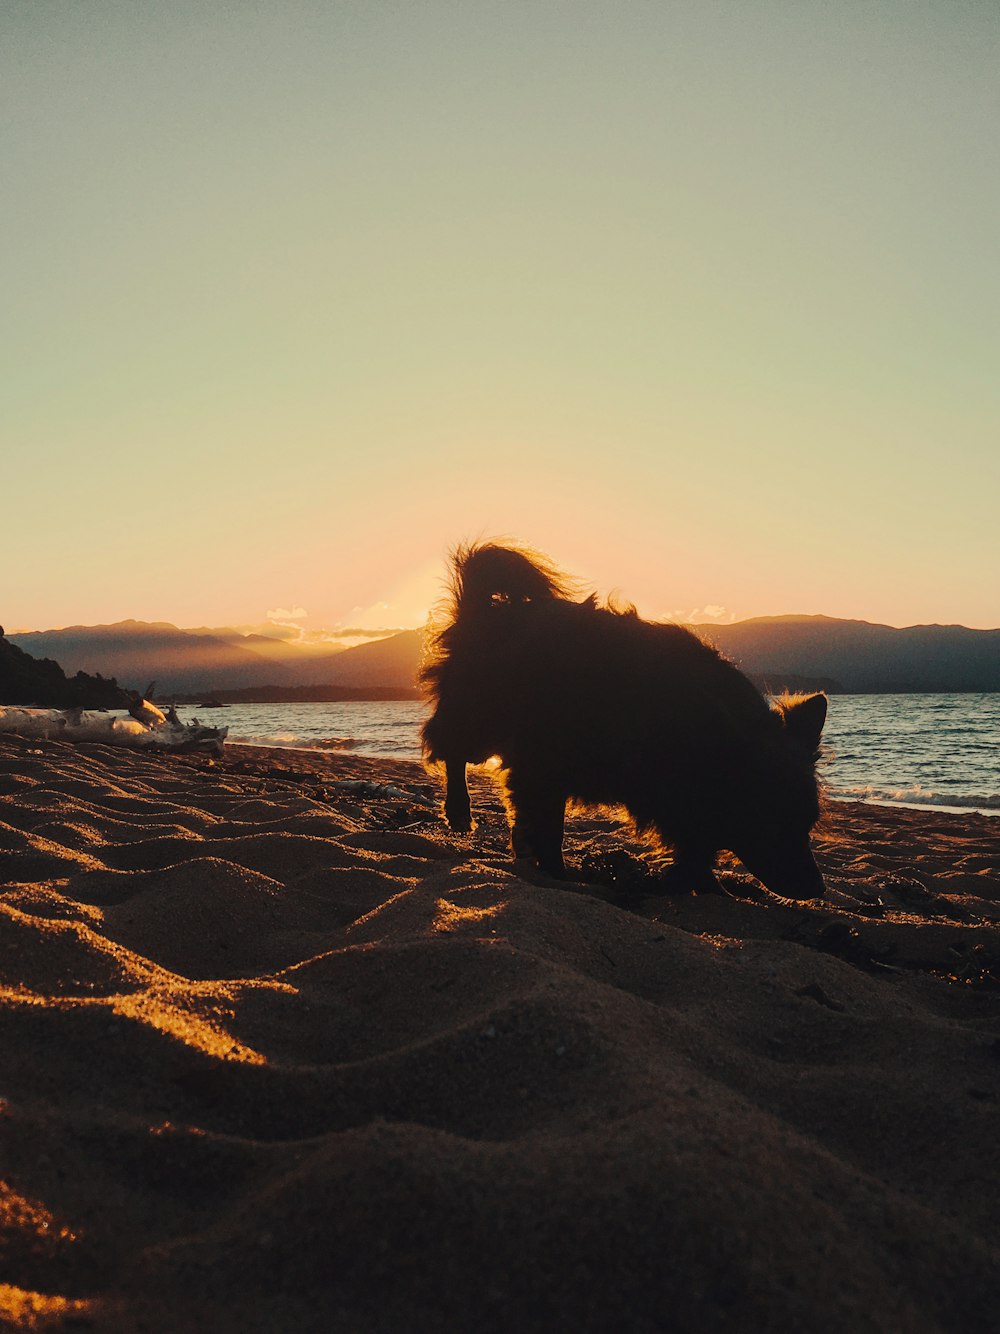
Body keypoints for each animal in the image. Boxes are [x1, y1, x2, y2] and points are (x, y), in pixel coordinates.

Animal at [424, 538, 832, 896]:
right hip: (478, 723)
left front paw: (706, 885)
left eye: (807, 823)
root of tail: (484, 610)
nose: (817, 890)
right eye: (771, 822)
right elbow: (548, 828)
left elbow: (696, 844)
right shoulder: (543, 765)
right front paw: (558, 872)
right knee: (453, 754)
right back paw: (459, 812)